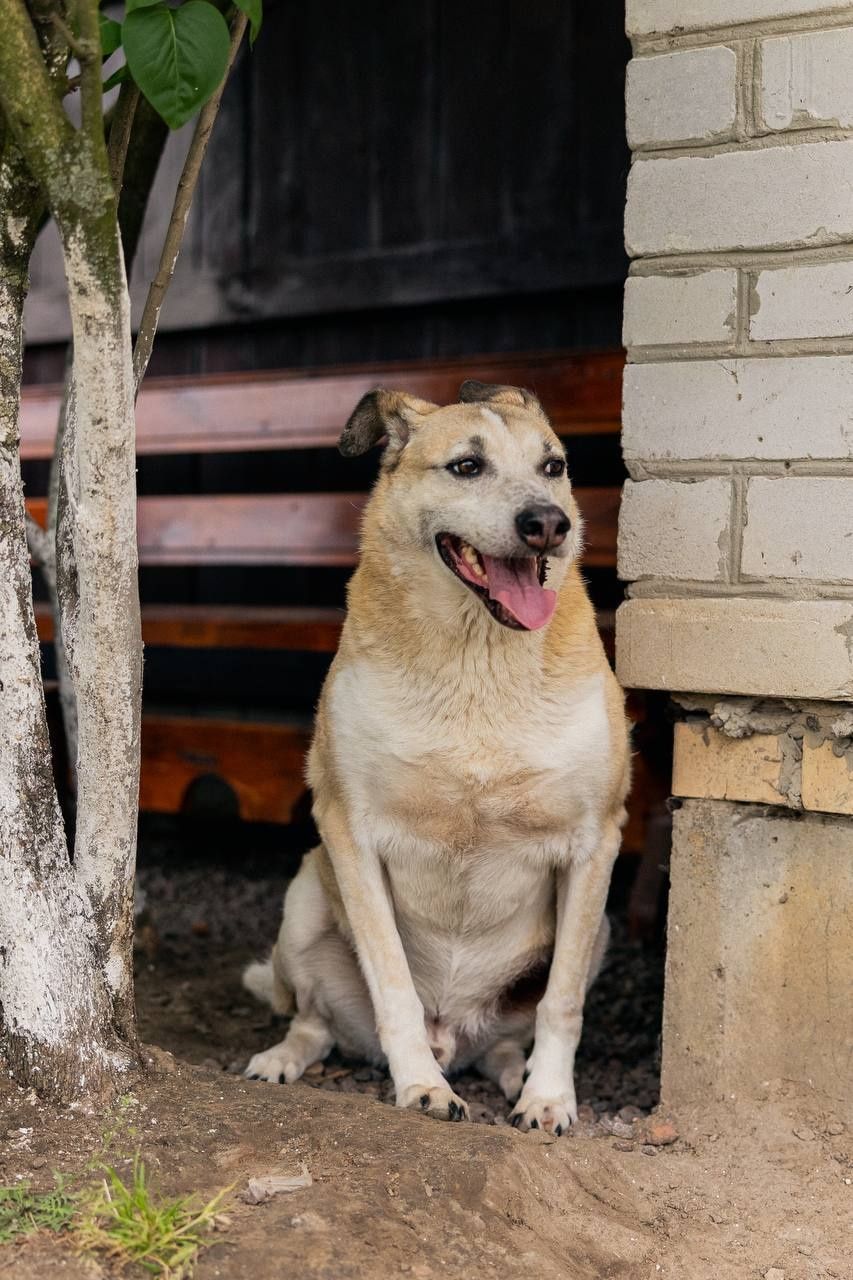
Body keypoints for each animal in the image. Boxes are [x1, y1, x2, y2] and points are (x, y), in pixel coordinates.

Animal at [242, 376, 627, 1131]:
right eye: (466, 466)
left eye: (554, 466)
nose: (548, 523)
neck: (478, 657)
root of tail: (458, 1034)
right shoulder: (349, 831)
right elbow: (392, 982)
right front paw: (420, 1085)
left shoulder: (595, 841)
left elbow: (561, 1001)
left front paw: (549, 1097)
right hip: (305, 898)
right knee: (313, 1022)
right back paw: (285, 1059)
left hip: (597, 930)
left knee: (508, 1039)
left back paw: (512, 1074)